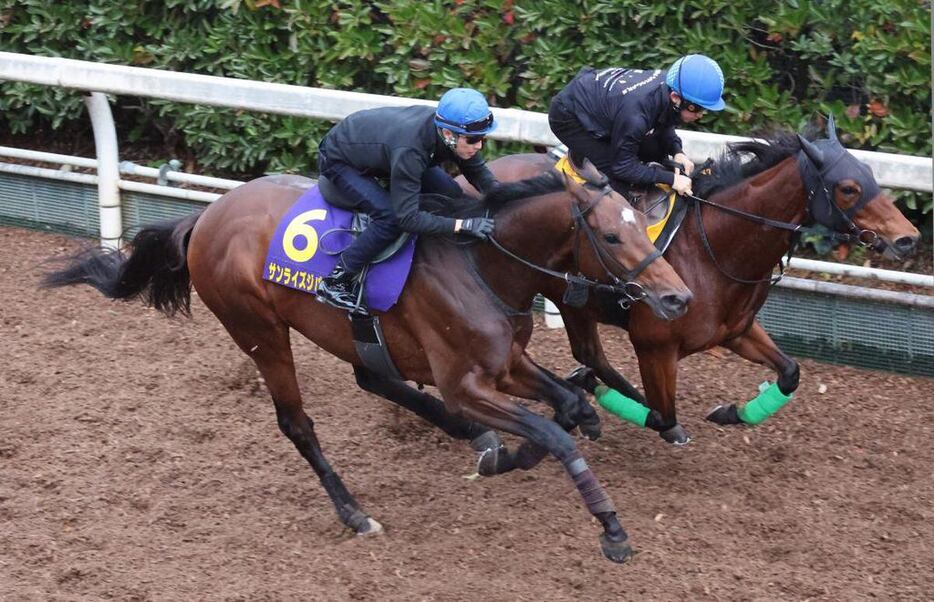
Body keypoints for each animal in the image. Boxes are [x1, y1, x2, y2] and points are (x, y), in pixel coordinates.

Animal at [44, 166, 696, 560]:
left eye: (643, 223)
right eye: (611, 237)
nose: (677, 298)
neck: (480, 264)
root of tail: (204, 217)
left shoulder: (506, 361)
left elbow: (567, 404)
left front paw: (516, 450)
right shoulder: (462, 382)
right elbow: (555, 433)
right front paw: (611, 528)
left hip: (338, 331)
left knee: (371, 375)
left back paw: (476, 440)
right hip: (257, 330)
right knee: (297, 423)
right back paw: (356, 514)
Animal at [468, 118, 920, 446]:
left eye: (870, 172)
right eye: (848, 187)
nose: (908, 237)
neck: (712, 250)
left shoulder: (736, 331)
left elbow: (790, 372)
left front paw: (732, 412)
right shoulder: (654, 347)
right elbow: (662, 415)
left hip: (570, 299)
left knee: (590, 353)